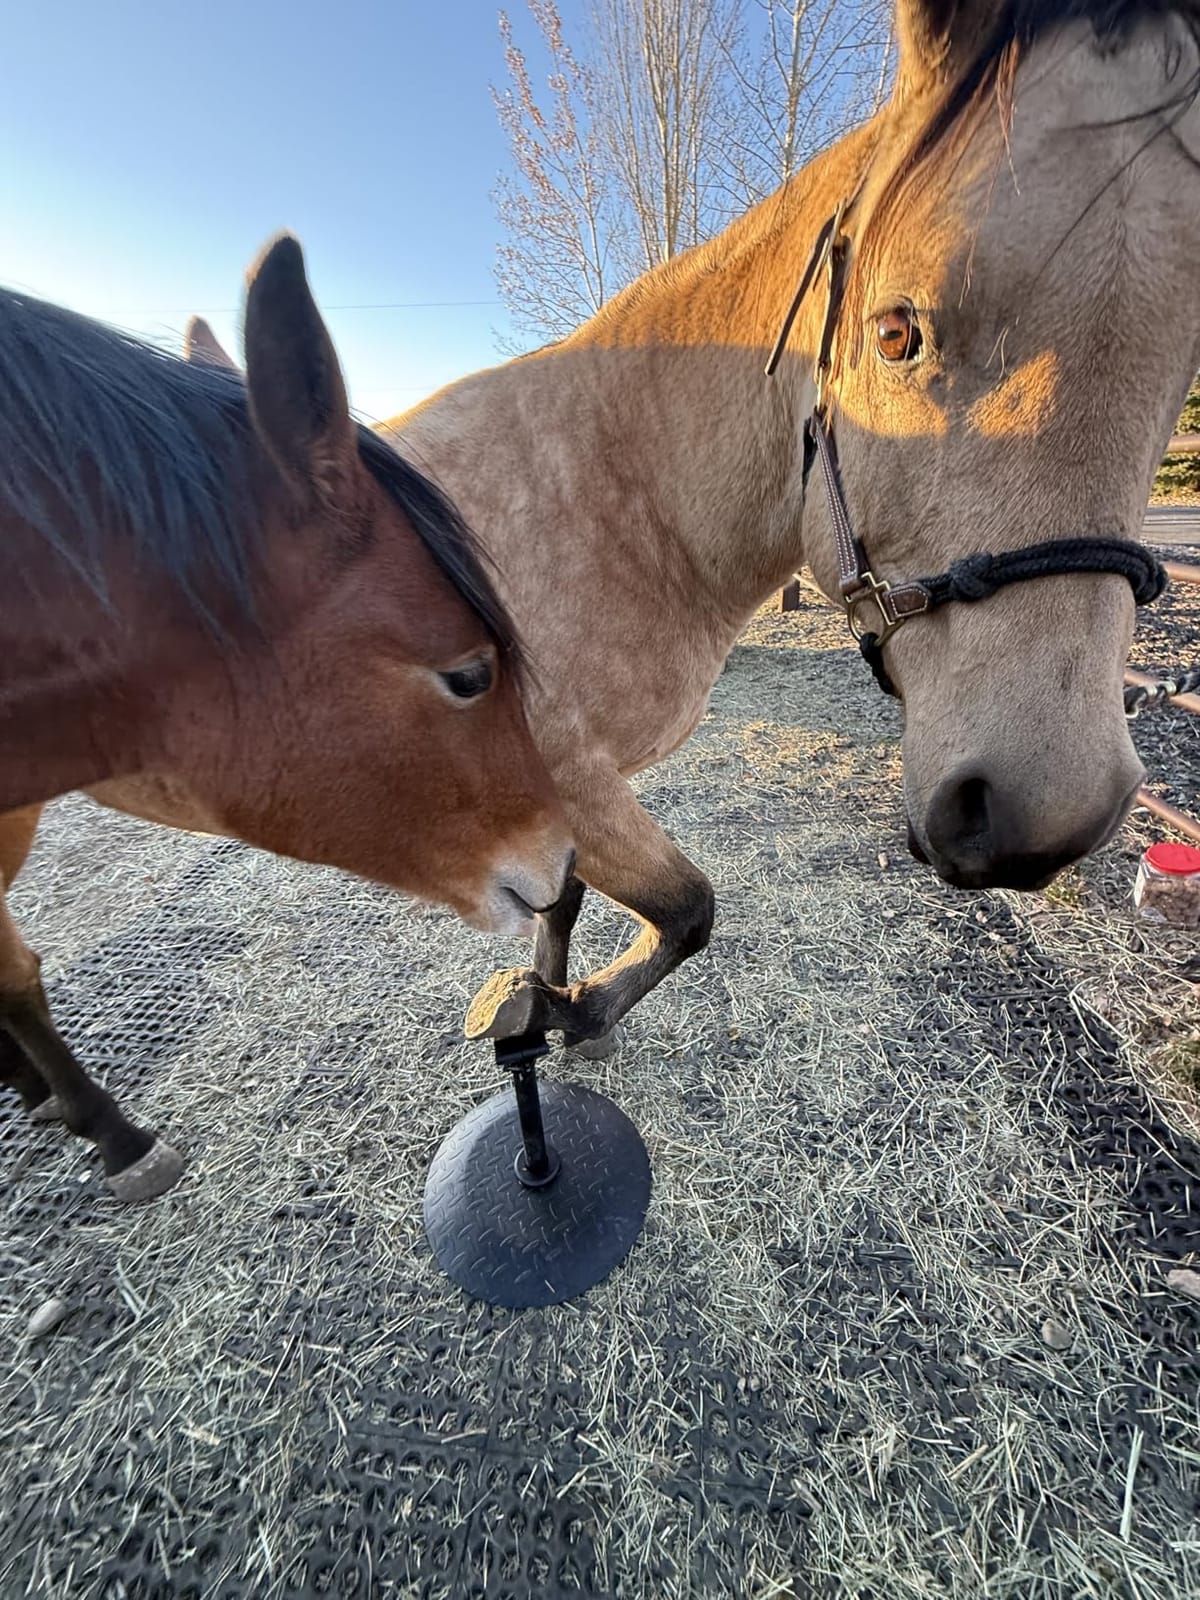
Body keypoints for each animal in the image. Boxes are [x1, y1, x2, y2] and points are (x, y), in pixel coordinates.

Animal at [379, 0, 1200, 1049]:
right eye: (895, 332)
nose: (1041, 815)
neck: (611, 492)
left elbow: (575, 905)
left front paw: (549, 1004)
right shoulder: (568, 782)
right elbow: (686, 908)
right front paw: (577, 1011)